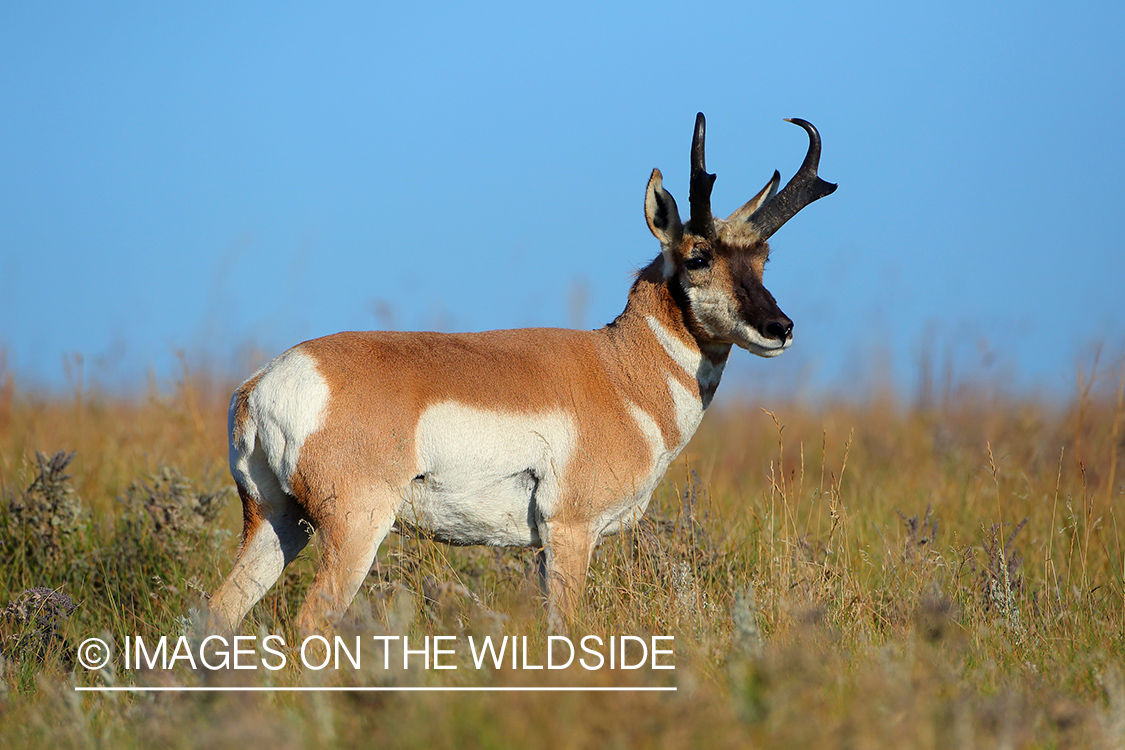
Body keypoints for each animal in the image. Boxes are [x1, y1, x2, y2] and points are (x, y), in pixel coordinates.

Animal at [209, 114, 837, 629]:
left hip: (276, 522)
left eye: (763, 259)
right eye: (698, 256)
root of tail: (264, 384)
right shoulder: (571, 532)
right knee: (311, 620)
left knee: (218, 609)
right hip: (354, 526)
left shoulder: (541, 547)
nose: (780, 328)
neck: (619, 370)